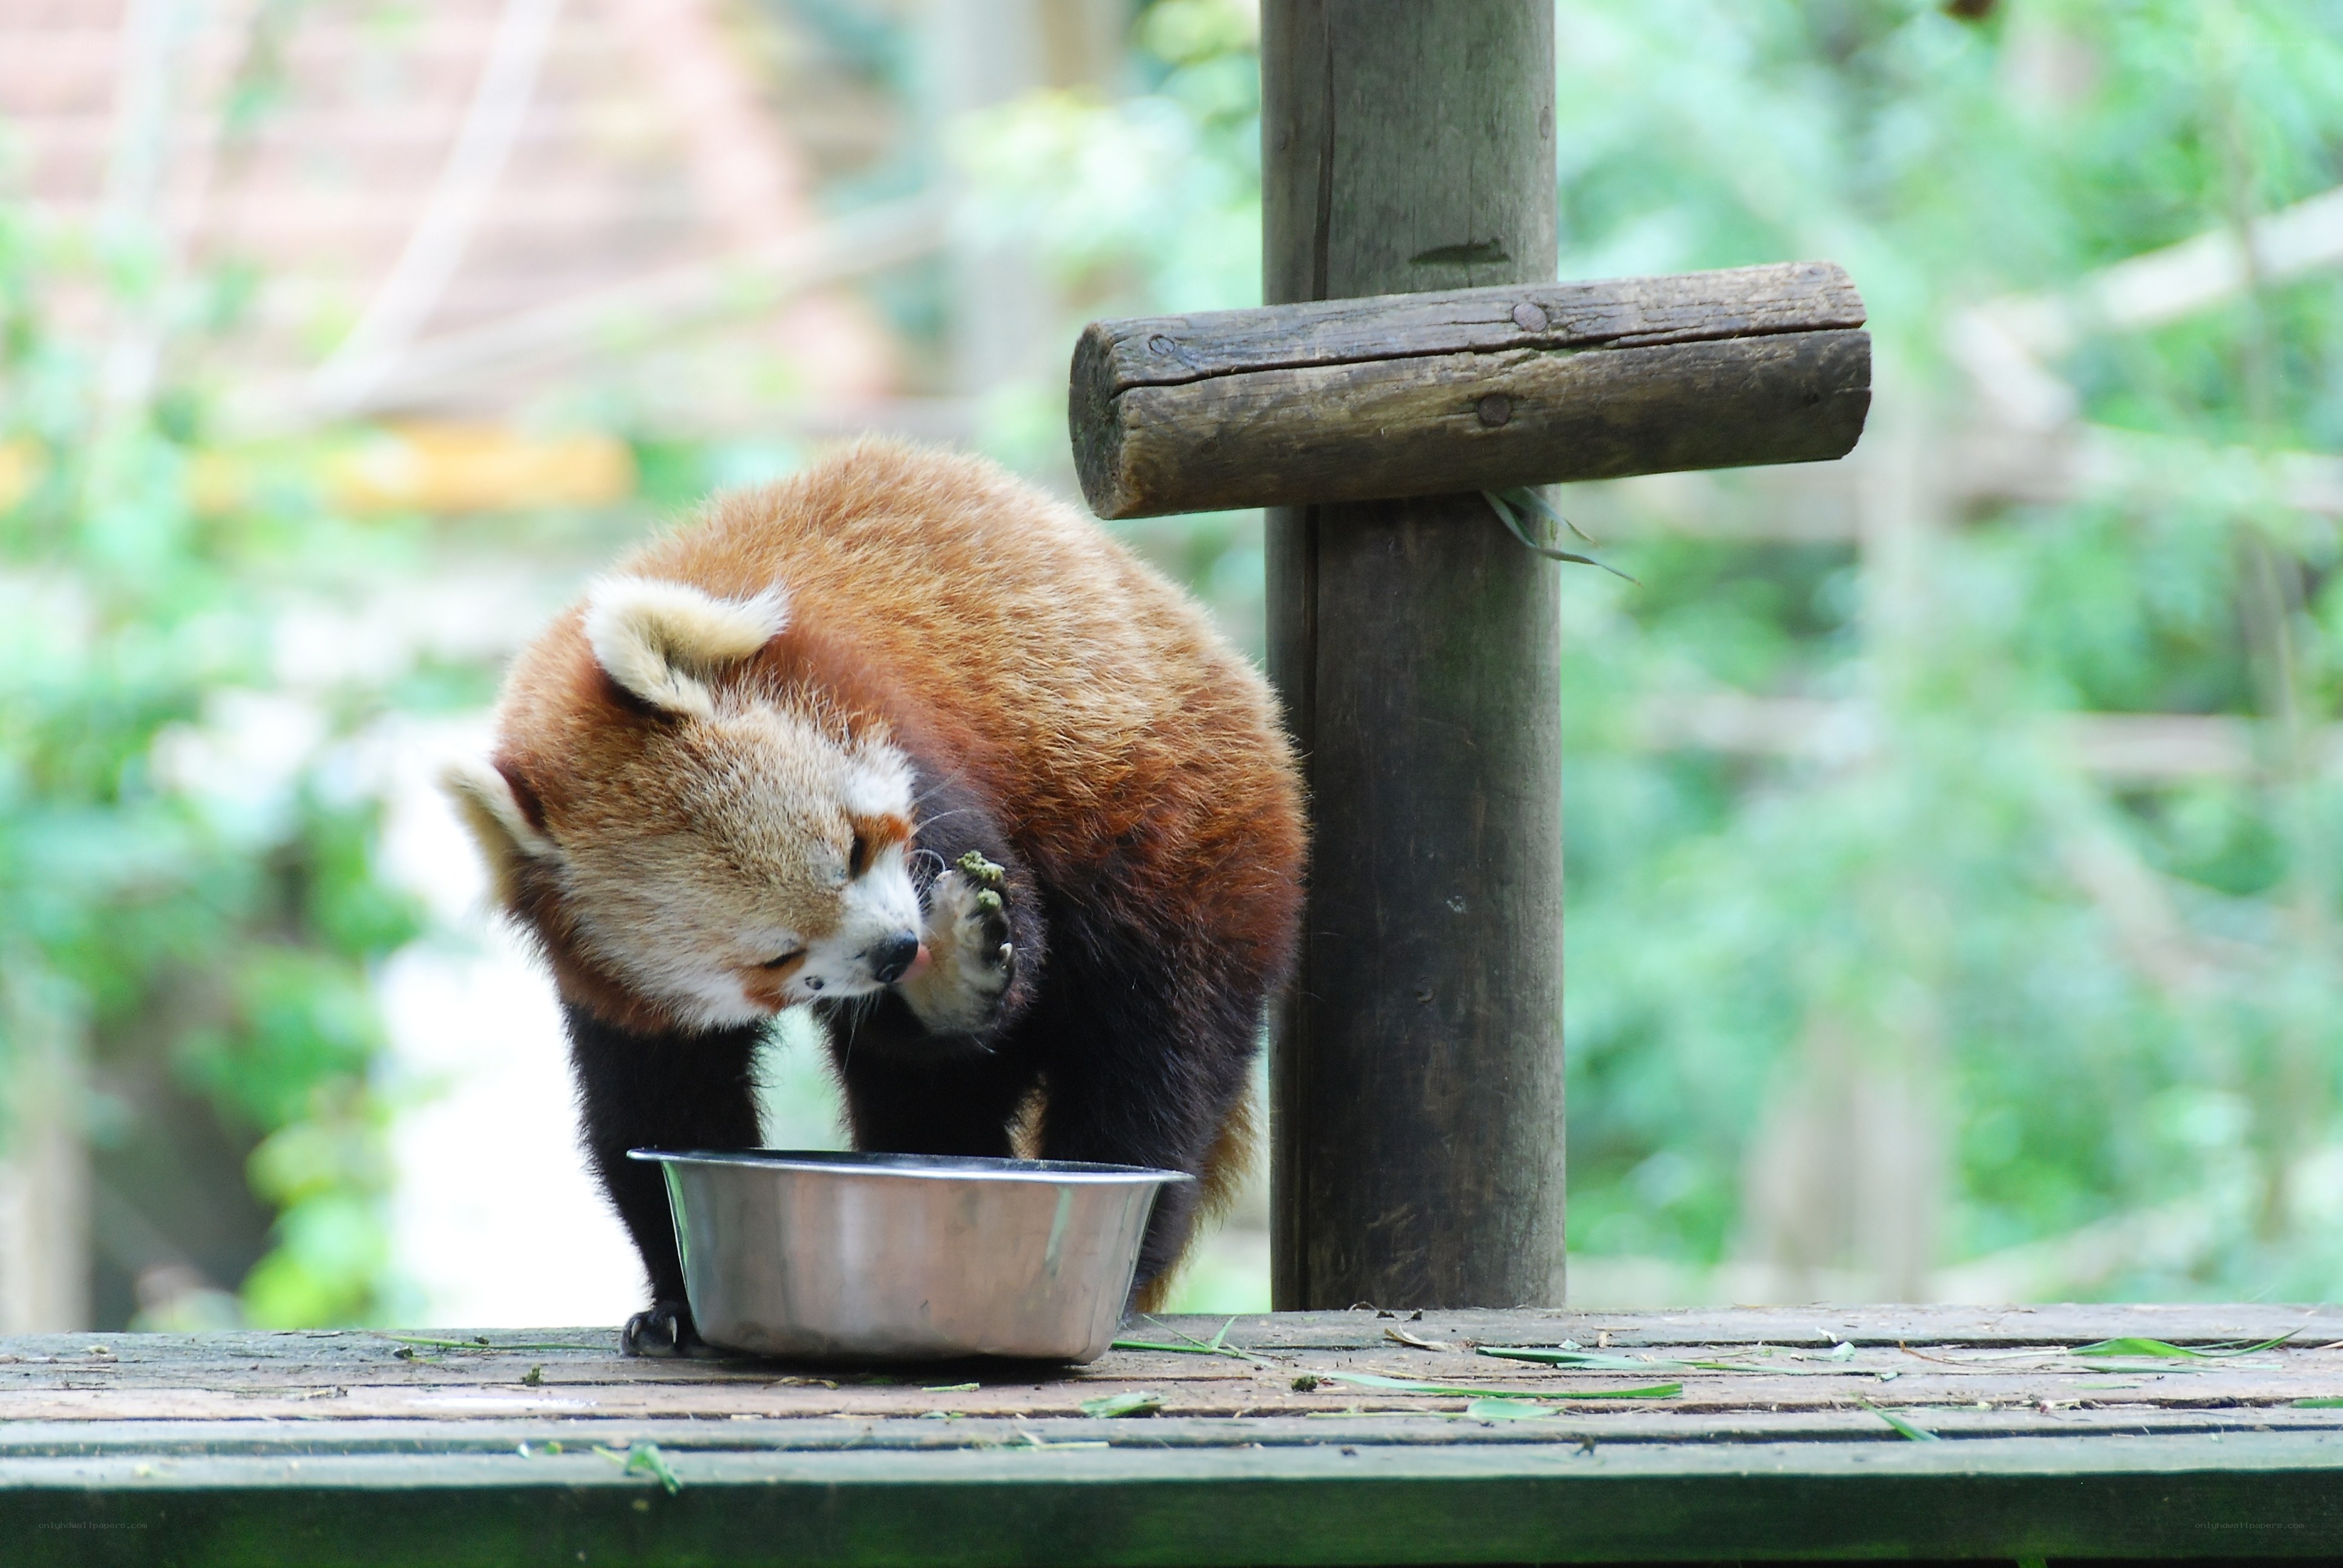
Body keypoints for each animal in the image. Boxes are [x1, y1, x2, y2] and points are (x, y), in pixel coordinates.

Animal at [443, 439, 1305, 1353]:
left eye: (857, 848)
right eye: (775, 956)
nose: (899, 952)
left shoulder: (923, 738)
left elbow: (1011, 960)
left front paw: (959, 967)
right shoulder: (613, 988)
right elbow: (652, 1112)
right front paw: (675, 1300)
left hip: (1186, 849)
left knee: (1156, 1062)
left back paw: (1131, 1256)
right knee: (927, 1097)